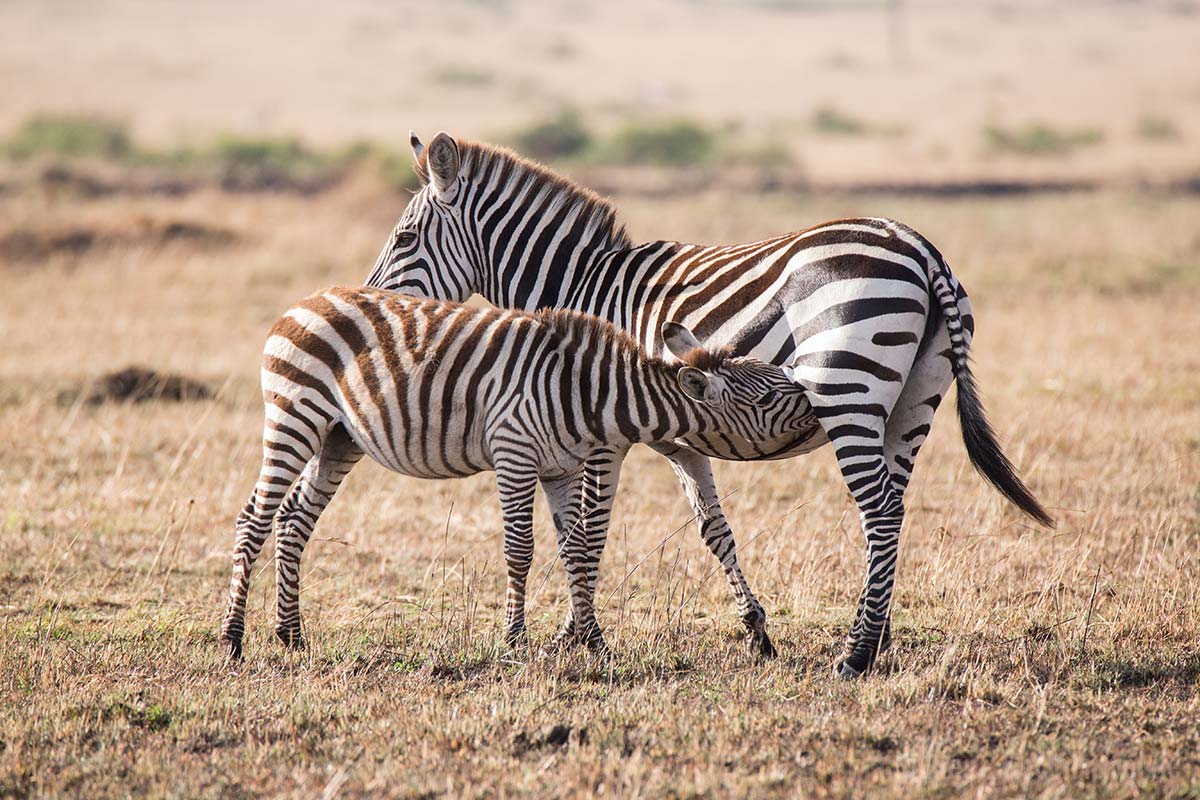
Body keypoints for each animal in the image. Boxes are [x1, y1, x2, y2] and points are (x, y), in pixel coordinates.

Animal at [218, 286, 815, 660]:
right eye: (768, 397)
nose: (816, 401)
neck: (588, 392)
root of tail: (305, 301)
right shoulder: (514, 453)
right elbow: (521, 550)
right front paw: (514, 641)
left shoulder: (559, 468)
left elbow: (578, 548)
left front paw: (593, 642)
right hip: (295, 416)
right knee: (254, 520)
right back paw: (233, 639)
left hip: (340, 438)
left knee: (294, 519)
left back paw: (291, 635)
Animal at [359, 132, 1056, 678]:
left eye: (404, 237)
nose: (369, 309)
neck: (582, 287)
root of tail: (918, 245)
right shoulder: (677, 438)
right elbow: (710, 528)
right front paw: (756, 631)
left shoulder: (603, 432)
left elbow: (586, 531)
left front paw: (581, 639)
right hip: (913, 402)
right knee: (894, 507)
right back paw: (876, 635)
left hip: (848, 389)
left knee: (878, 508)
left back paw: (855, 655)